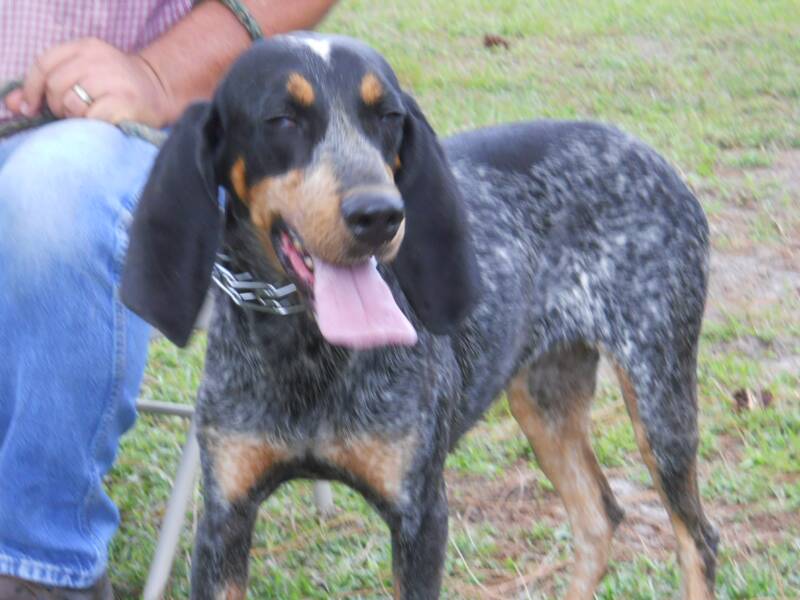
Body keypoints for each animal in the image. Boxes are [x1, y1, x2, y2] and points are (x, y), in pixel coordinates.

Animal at [122, 34, 720, 600]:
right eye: (282, 119)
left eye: (388, 117)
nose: (380, 215)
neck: (305, 347)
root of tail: (649, 154)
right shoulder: (225, 519)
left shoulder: (421, 516)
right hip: (543, 400)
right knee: (598, 518)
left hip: (659, 405)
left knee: (697, 537)